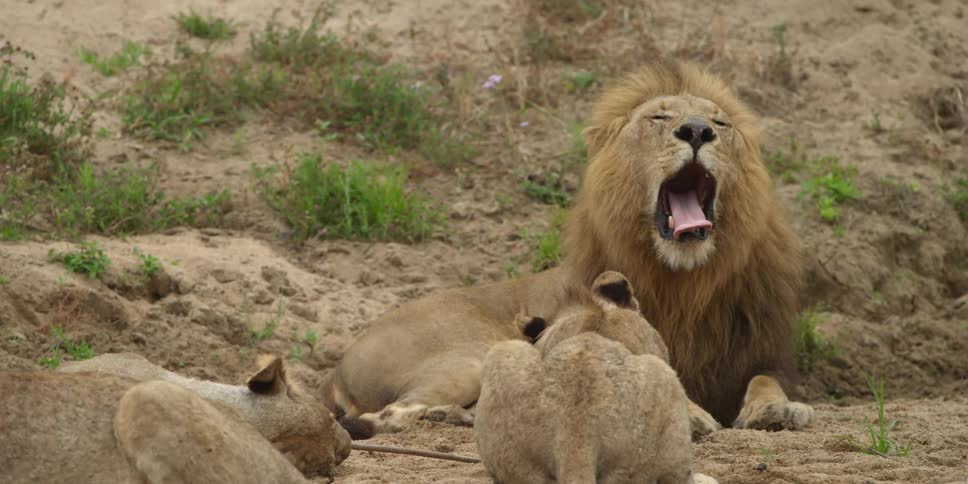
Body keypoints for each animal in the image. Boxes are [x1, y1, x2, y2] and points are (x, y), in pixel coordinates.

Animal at [327, 59, 812, 437]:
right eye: (657, 119)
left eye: (721, 123)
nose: (696, 130)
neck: (686, 282)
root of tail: (338, 367)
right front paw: (691, 412)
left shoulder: (756, 355)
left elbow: (765, 379)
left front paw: (775, 408)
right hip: (470, 358)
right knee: (390, 412)